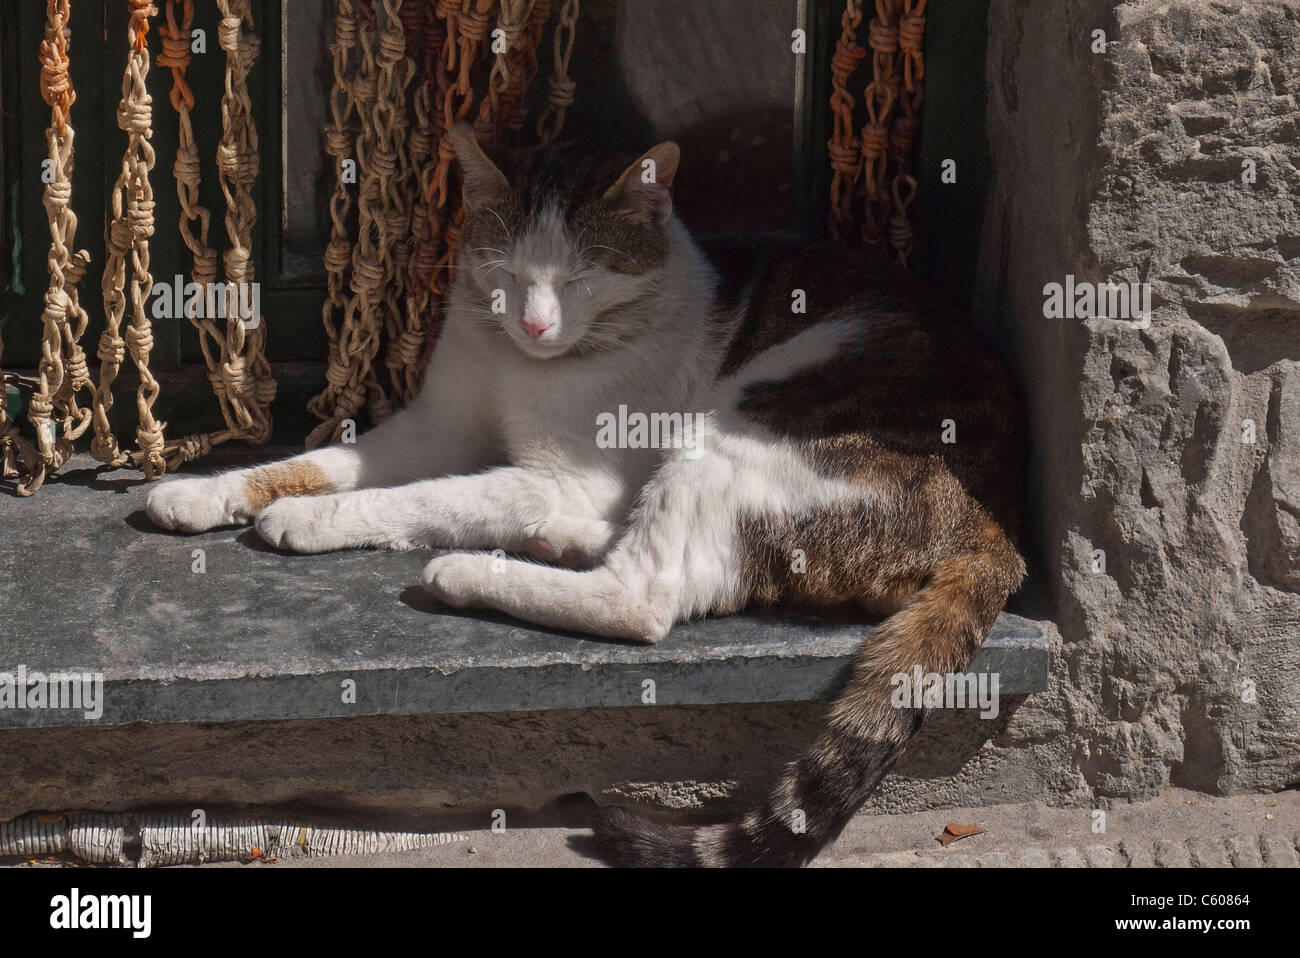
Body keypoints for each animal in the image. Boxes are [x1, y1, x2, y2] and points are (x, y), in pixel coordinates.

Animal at [147, 121, 1029, 868]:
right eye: (505, 276)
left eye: (579, 279)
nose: (535, 326)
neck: (521, 363)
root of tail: (996, 520)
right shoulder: (437, 425)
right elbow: (327, 460)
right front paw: (200, 493)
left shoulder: (559, 474)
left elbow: (421, 499)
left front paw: (307, 517)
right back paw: (553, 546)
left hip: (740, 429)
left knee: (644, 600)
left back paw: (471, 574)